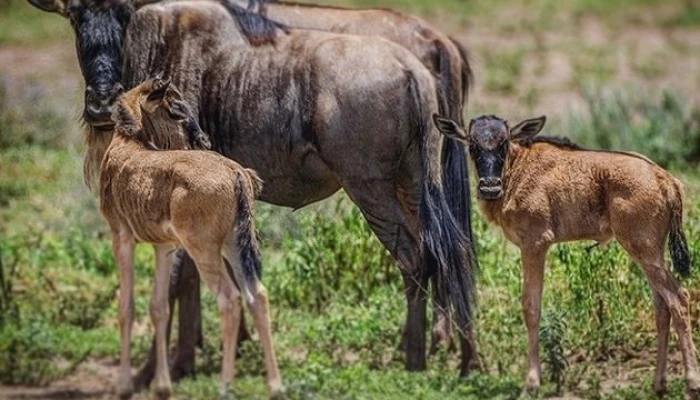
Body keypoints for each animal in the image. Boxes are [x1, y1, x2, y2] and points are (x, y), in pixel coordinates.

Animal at [101, 77, 282, 396]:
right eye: (175, 109)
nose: (204, 141)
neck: (128, 144)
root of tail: (236, 173)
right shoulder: (164, 247)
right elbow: (159, 307)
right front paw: (162, 388)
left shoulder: (121, 237)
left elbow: (127, 307)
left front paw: (124, 386)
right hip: (234, 246)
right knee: (256, 295)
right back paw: (275, 386)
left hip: (204, 251)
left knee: (230, 300)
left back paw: (225, 385)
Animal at [434, 113, 696, 396]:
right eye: (472, 145)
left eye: (503, 143)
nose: (490, 188)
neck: (516, 169)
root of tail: (666, 179)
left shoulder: (535, 245)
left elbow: (531, 307)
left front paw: (531, 384)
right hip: (649, 252)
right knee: (662, 305)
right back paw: (659, 385)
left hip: (643, 249)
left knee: (679, 297)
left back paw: (692, 382)